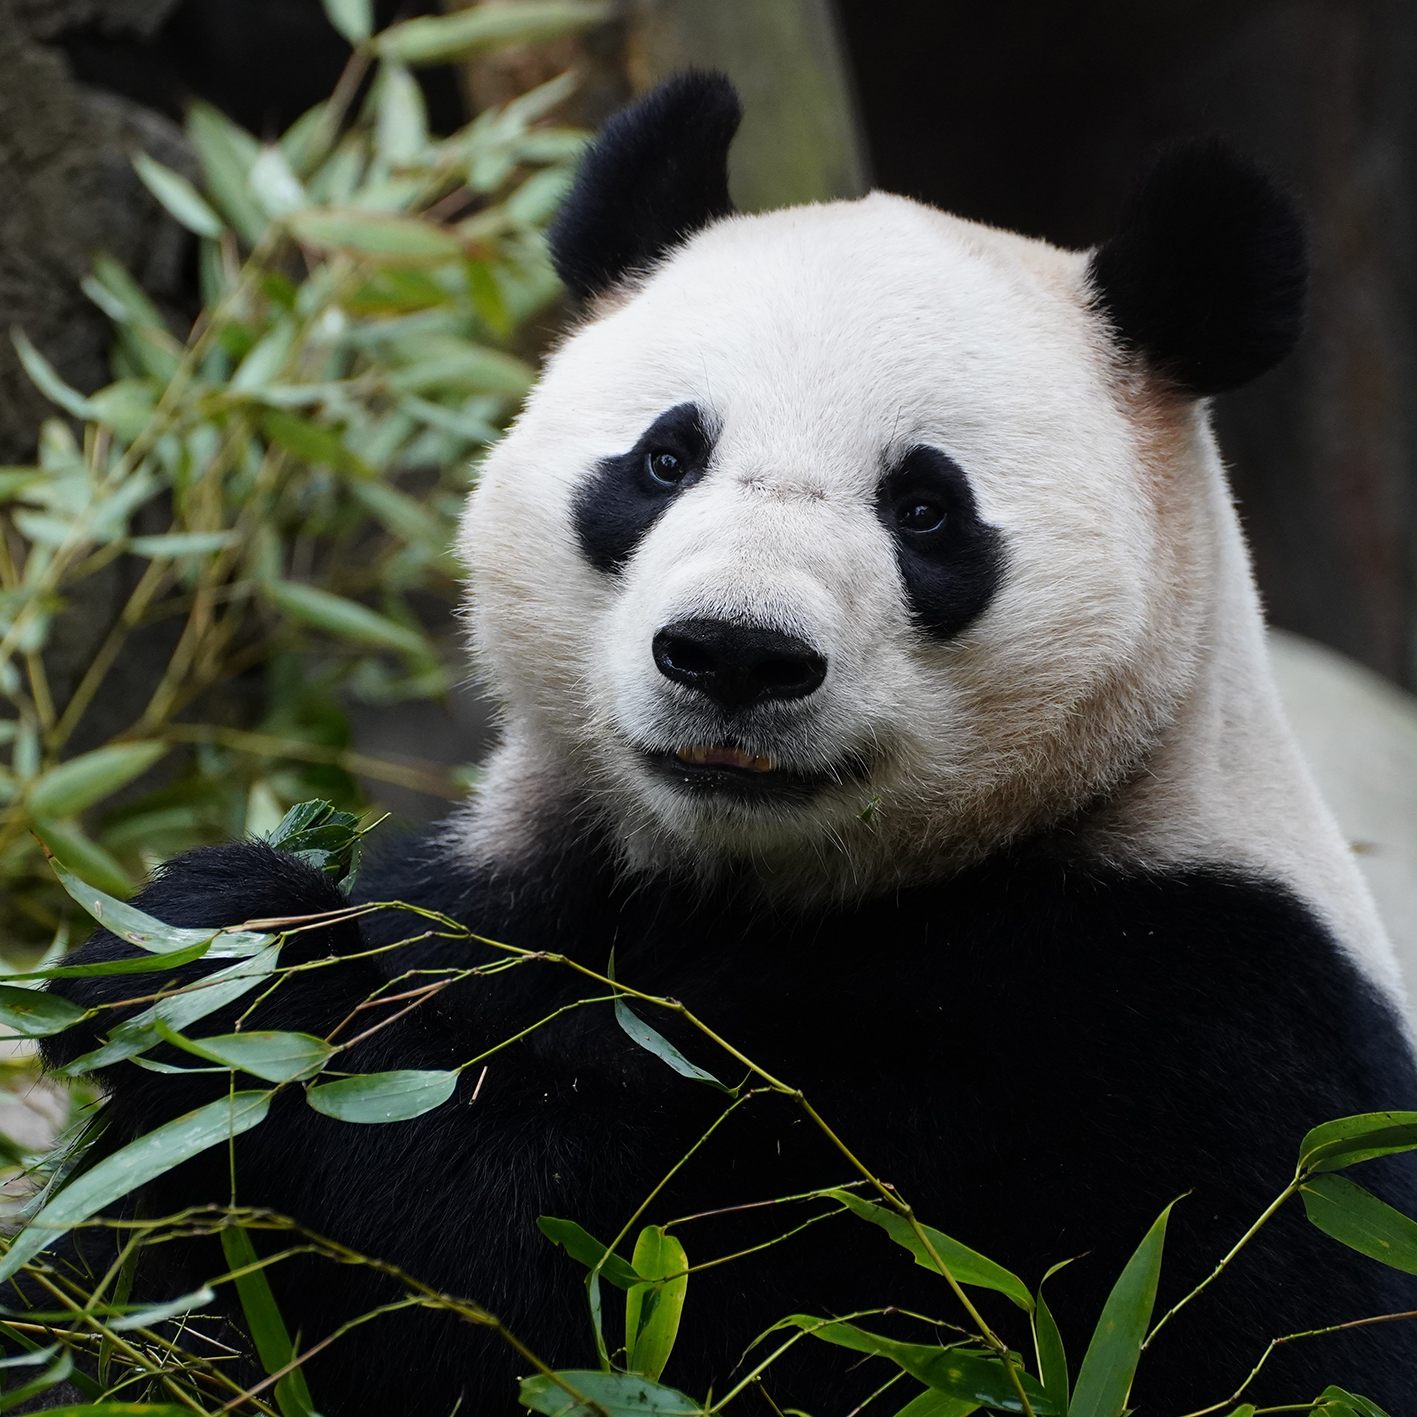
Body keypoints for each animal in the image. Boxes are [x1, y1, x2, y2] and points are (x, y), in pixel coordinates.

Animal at [38, 72, 1417, 1415]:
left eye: (926, 508)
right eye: (664, 458)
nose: (734, 654)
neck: (745, 883)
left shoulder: (1184, 1025)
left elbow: (633, 1285)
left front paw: (249, 961)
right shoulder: (504, 892)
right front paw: (178, 954)